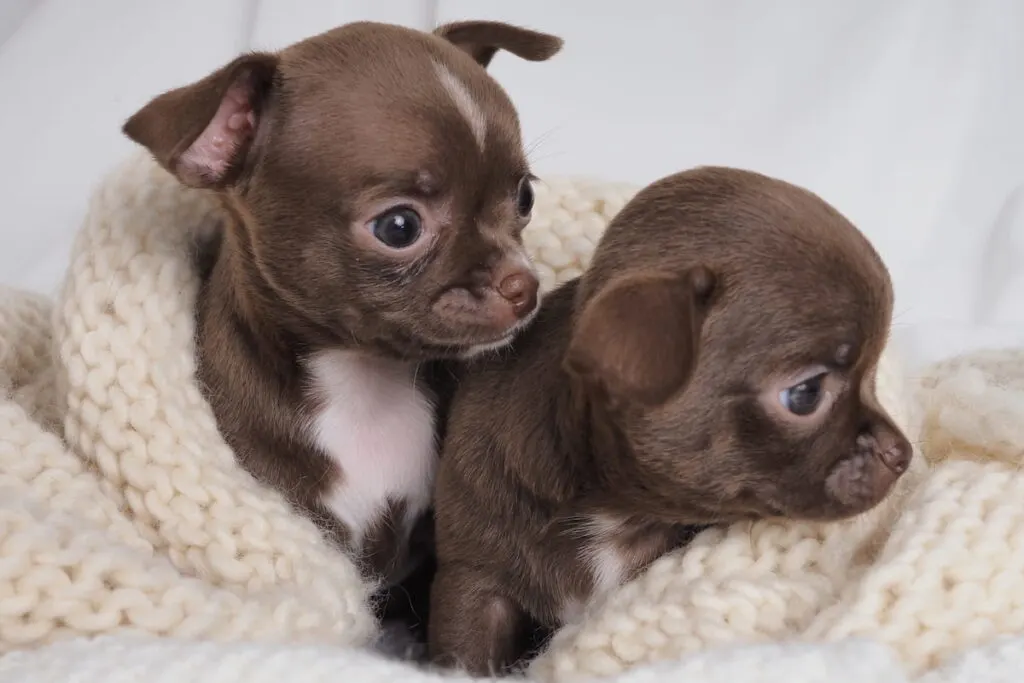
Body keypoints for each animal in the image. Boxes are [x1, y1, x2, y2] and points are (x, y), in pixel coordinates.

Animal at [428, 165, 917, 671]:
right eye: (805, 394)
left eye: (873, 376)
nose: (900, 452)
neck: (611, 510)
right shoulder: (475, 581)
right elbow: (466, 650)